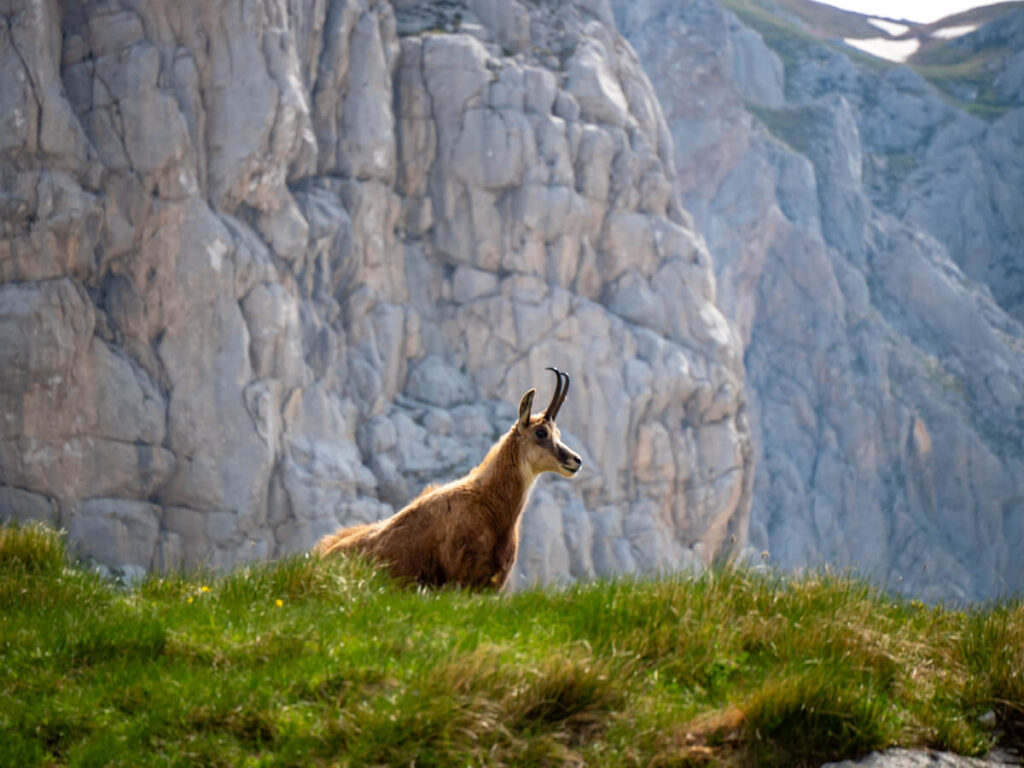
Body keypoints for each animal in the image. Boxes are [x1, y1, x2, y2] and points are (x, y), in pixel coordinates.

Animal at [314, 367, 583, 589]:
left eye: (558, 433)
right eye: (541, 432)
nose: (576, 460)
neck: (490, 505)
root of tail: (320, 558)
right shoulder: (459, 579)